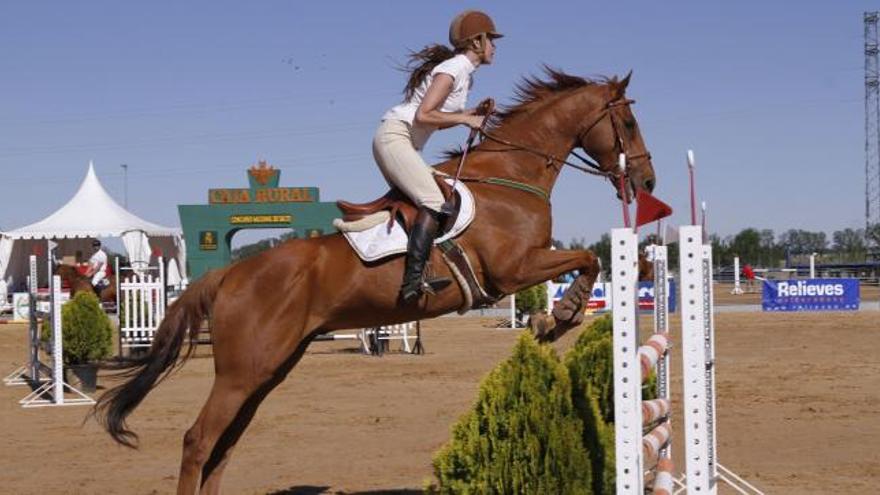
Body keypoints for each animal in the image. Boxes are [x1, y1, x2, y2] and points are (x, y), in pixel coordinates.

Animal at [94, 70, 652, 495]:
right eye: (627, 121)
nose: (646, 182)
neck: (510, 176)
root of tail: (229, 272)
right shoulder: (514, 269)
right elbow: (587, 261)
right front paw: (557, 318)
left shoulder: (523, 266)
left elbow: (587, 261)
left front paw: (556, 317)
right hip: (242, 372)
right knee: (199, 440)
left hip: (268, 369)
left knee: (224, 445)